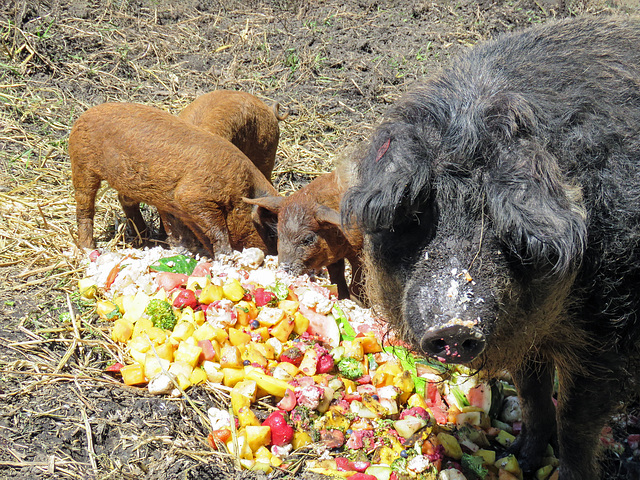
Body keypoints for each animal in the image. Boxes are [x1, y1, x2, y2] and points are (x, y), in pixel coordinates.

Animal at [342, 15, 640, 480]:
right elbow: (533, 393)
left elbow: (576, 421)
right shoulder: (524, 328)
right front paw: (517, 459)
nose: (454, 327)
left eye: (503, 227)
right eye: (415, 215)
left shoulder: (609, 334)